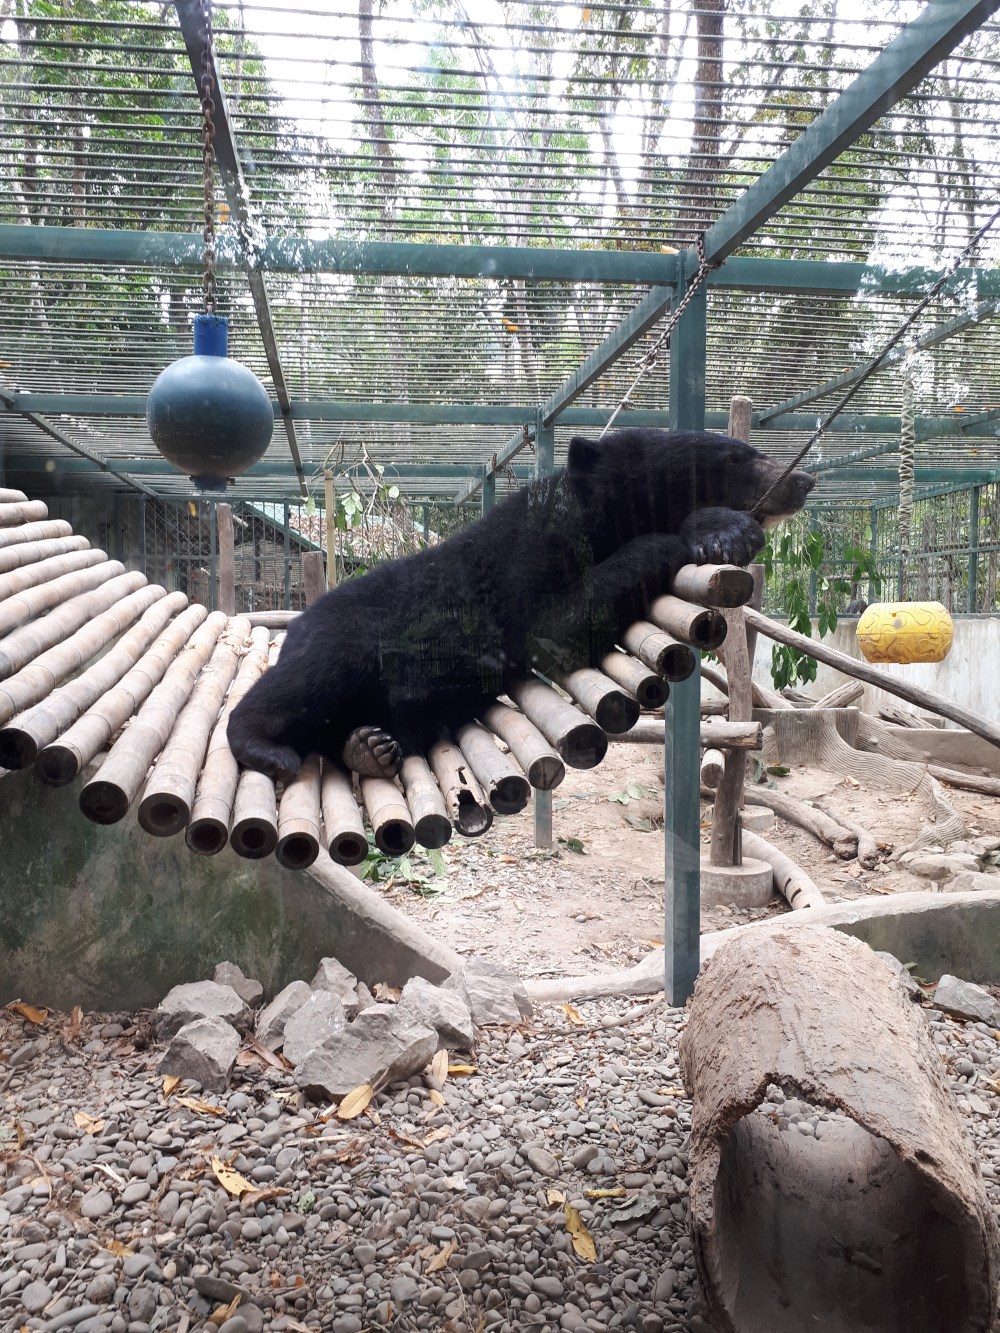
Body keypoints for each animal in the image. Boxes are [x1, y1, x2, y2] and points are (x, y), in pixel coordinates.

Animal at [227, 428, 815, 780]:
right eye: (734, 458)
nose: (804, 479)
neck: (590, 514)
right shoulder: (526, 559)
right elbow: (559, 624)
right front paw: (721, 529)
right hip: (343, 635)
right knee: (304, 679)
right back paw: (264, 745)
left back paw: (366, 748)